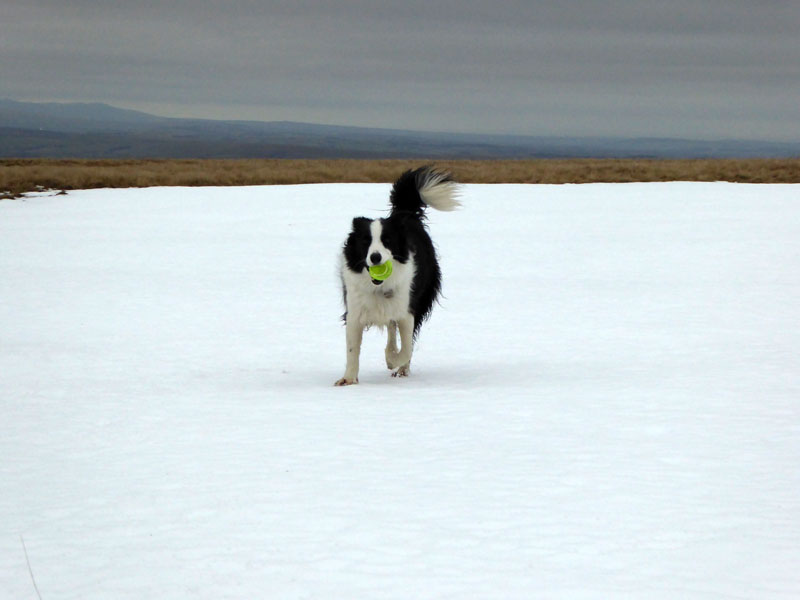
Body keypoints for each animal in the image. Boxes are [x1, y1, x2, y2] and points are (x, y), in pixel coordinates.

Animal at [334, 166, 460, 386]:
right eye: (366, 241)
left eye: (387, 241)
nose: (375, 257)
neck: (379, 287)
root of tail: (405, 213)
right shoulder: (354, 312)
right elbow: (352, 349)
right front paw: (348, 379)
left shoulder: (407, 311)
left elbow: (407, 347)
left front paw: (393, 361)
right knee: (391, 329)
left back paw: (400, 368)